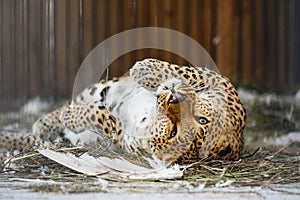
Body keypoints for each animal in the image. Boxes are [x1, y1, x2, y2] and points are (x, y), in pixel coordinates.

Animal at [0, 58, 246, 167]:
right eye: (201, 119)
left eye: (173, 133)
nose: (173, 97)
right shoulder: (222, 83)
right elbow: (188, 73)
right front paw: (146, 69)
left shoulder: (122, 138)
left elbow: (102, 116)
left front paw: (73, 117)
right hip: (101, 88)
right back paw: (44, 123)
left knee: (38, 141)